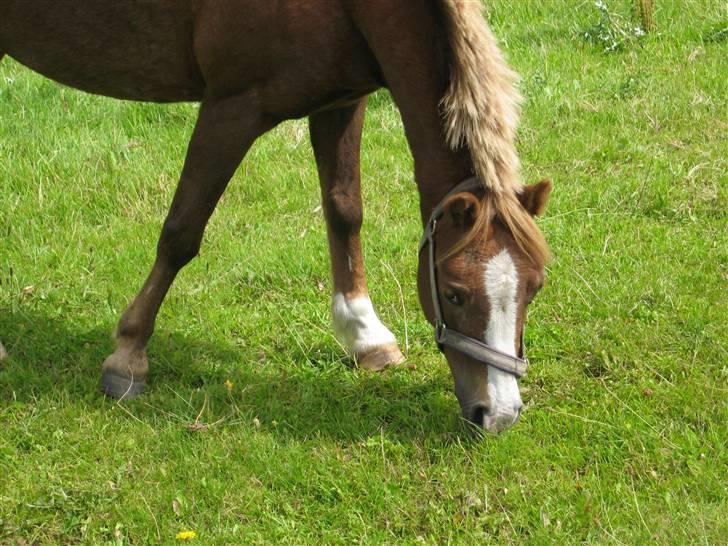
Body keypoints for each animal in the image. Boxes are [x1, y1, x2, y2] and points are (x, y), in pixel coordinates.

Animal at [1, 1, 552, 434]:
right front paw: (128, 354)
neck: (347, 5)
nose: (498, 415)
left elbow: (344, 210)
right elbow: (181, 233)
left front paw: (364, 334)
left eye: (535, 288)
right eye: (455, 292)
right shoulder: (231, 107)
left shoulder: (343, 100)